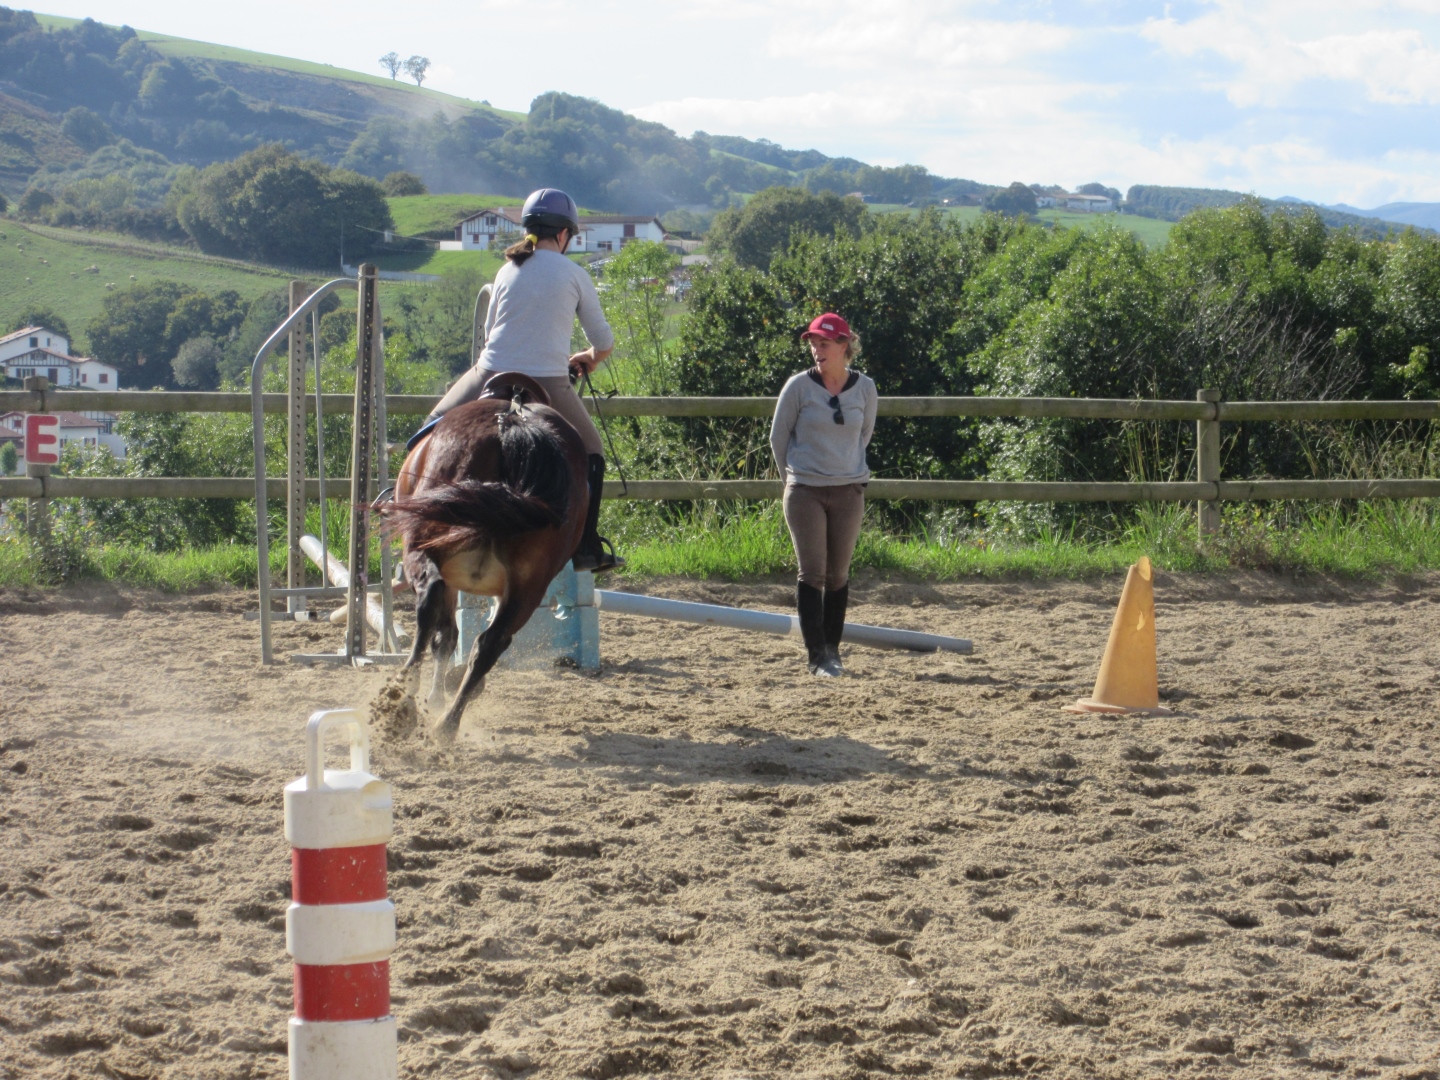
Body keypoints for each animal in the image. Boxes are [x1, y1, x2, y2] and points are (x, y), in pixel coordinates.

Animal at [378, 371, 589, 741]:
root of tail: (512, 424)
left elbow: (445, 635)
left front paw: (433, 697)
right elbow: (452, 638)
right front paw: (441, 698)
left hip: (423, 545)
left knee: (431, 602)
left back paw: (403, 700)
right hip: (529, 587)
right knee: (489, 644)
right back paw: (447, 725)